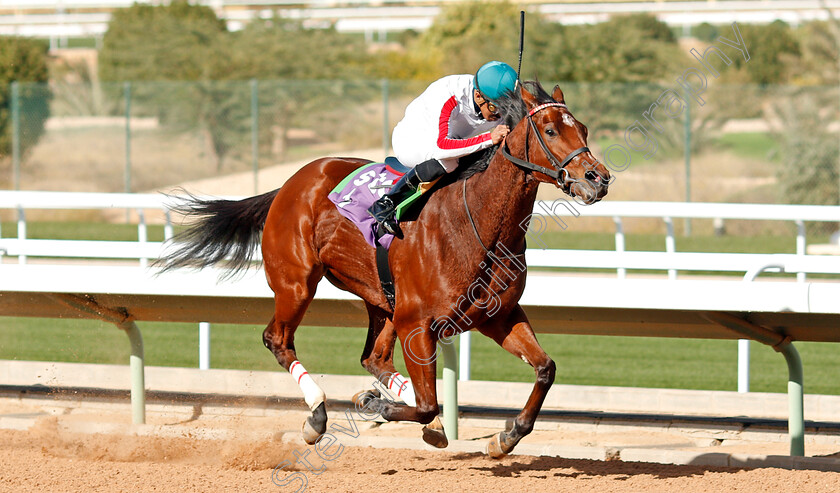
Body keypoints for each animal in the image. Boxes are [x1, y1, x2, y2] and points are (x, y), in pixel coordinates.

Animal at [159, 80, 612, 454]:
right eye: (550, 130)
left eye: (584, 129)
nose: (598, 178)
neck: (477, 225)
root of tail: (292, 182)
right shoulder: (419, 323)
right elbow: (428, 405)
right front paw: (381, 406)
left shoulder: (497, 316)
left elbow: (545, 368)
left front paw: (507, 436)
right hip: (297, 284)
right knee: (278, 340)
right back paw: (318, 415)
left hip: (381, 298)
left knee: (373, 358)